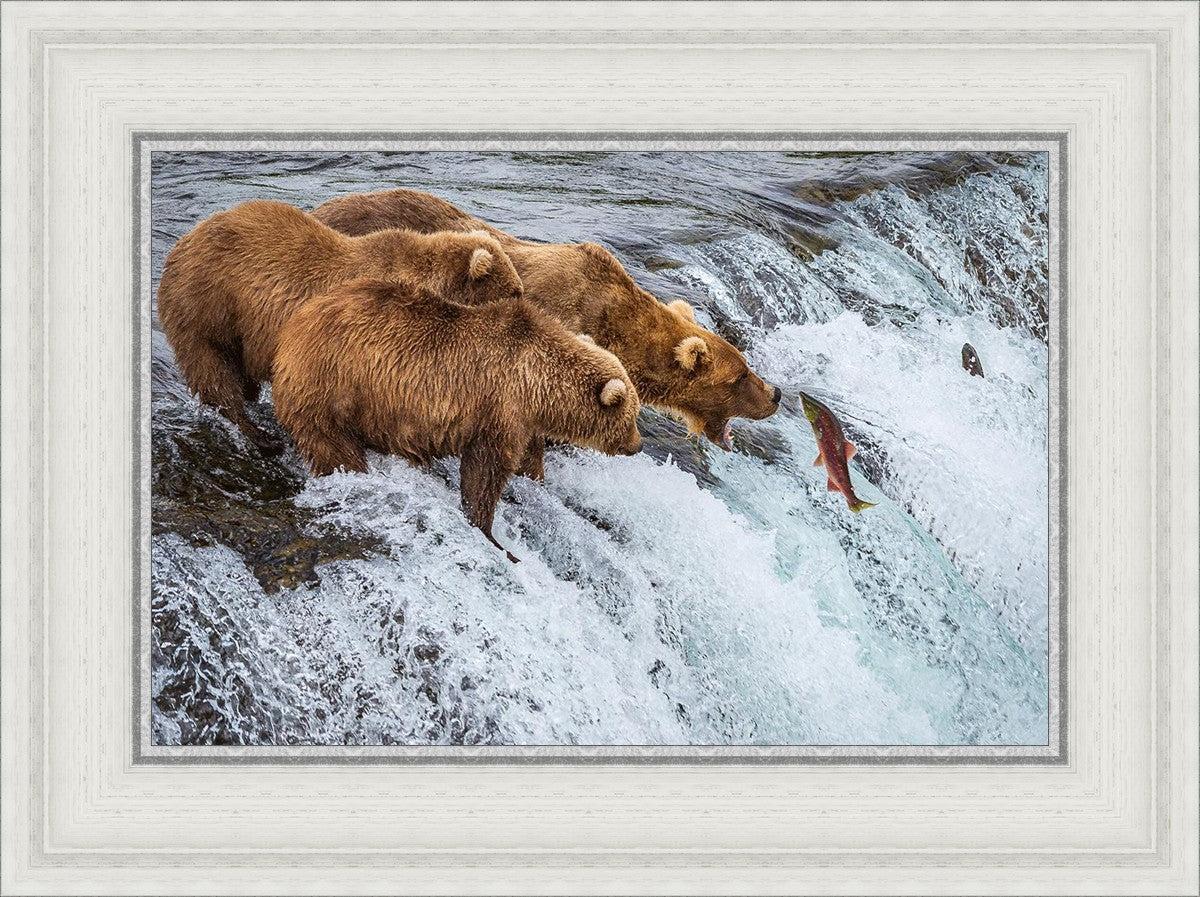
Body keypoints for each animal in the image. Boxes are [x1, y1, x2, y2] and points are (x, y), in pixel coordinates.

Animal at [156, 199, 523, 455]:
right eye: (515, 291)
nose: (525, 305)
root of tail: (183, 242)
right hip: (208, 305)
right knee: (213, 371)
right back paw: (260, 435)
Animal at [272, 278, 642, 561]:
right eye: (632, 416)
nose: (637, 445)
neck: (537, 383)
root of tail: (292, 329)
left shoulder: (523, 420)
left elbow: (527, 460)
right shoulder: (499, 406)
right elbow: (485, 471)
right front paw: (492, 535)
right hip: (333, 386)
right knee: (334, 446)